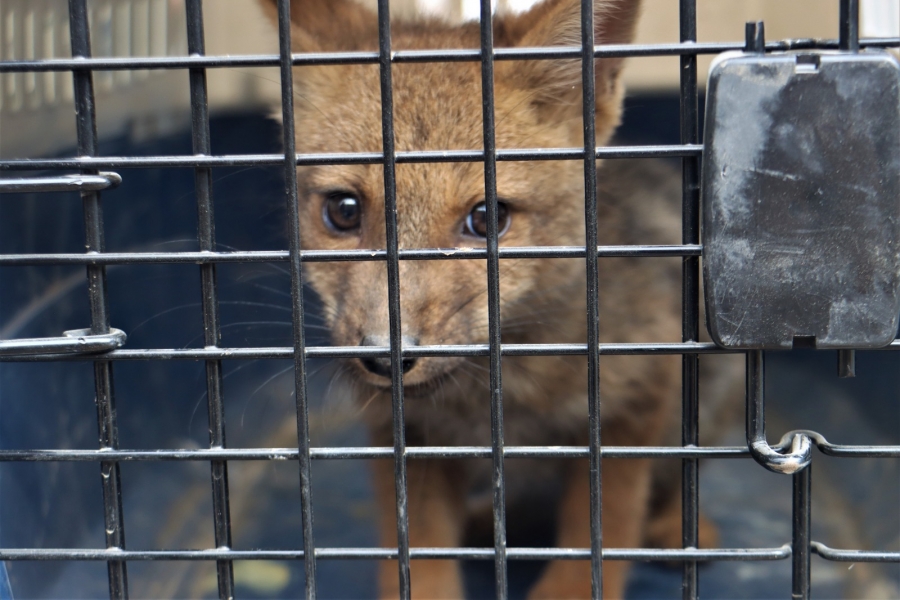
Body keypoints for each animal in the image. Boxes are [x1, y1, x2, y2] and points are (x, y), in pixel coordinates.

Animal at [258, 0, 734, 598]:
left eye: (487, 218)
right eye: (344, 210)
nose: (385, 356)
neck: (497, 399)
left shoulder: (636, 402)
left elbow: (600, 531)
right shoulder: (406, 437)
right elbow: (420, 555)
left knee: (674, 480)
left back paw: (678, 529)